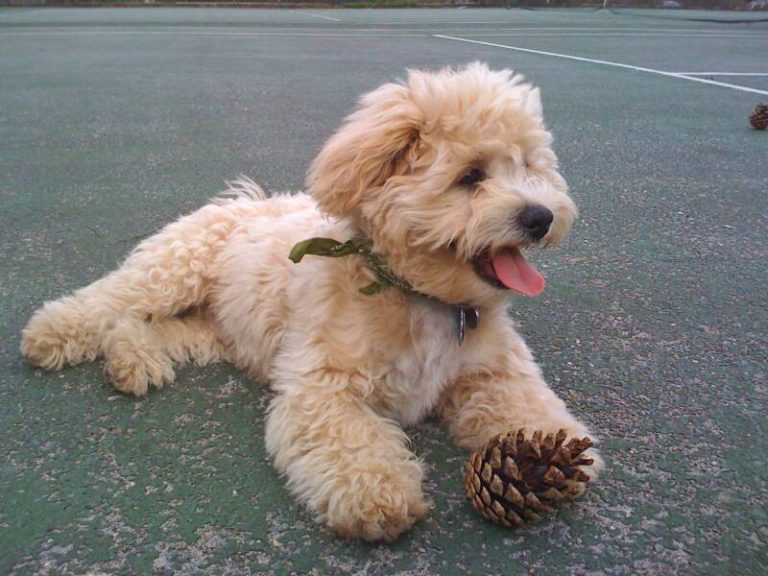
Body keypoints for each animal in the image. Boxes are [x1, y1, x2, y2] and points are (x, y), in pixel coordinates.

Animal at [19, 64, 600, 544]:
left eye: (531, 166)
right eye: (471, 176)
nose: (541, 216)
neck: (422, 297)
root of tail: (243, 203)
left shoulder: (495, 373)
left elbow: (529, 408)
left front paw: (555, 455)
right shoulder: (321, 387)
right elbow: (352, 445)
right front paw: (379, 495)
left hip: (215, 335)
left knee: (140, 326)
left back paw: (131, 361)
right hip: (171, 273)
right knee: (109, 300)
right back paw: (50, 334)